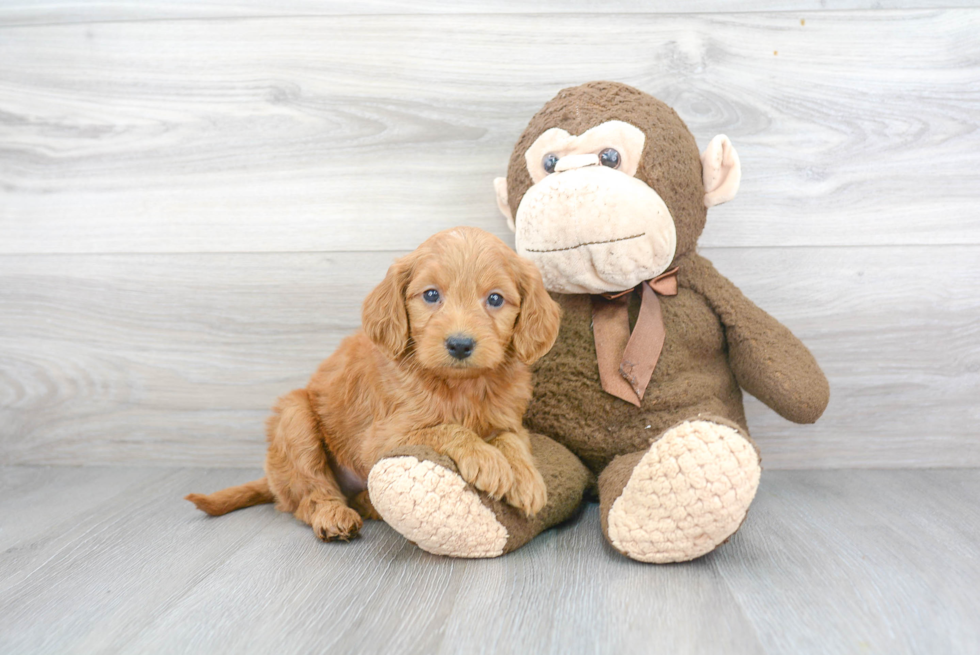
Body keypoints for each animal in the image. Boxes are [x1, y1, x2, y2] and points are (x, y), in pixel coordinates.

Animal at [188, 227, 564, 544]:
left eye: (496, 299)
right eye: (431, 295)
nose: (459, 344)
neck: (461, 387)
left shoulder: (510, 419)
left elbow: (510, 439)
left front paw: (526, 479)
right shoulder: (382, 437)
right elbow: (444, 428)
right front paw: (486, 459)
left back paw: (369, 504)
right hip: (295, 418)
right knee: (309, 494)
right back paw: (333, 515)